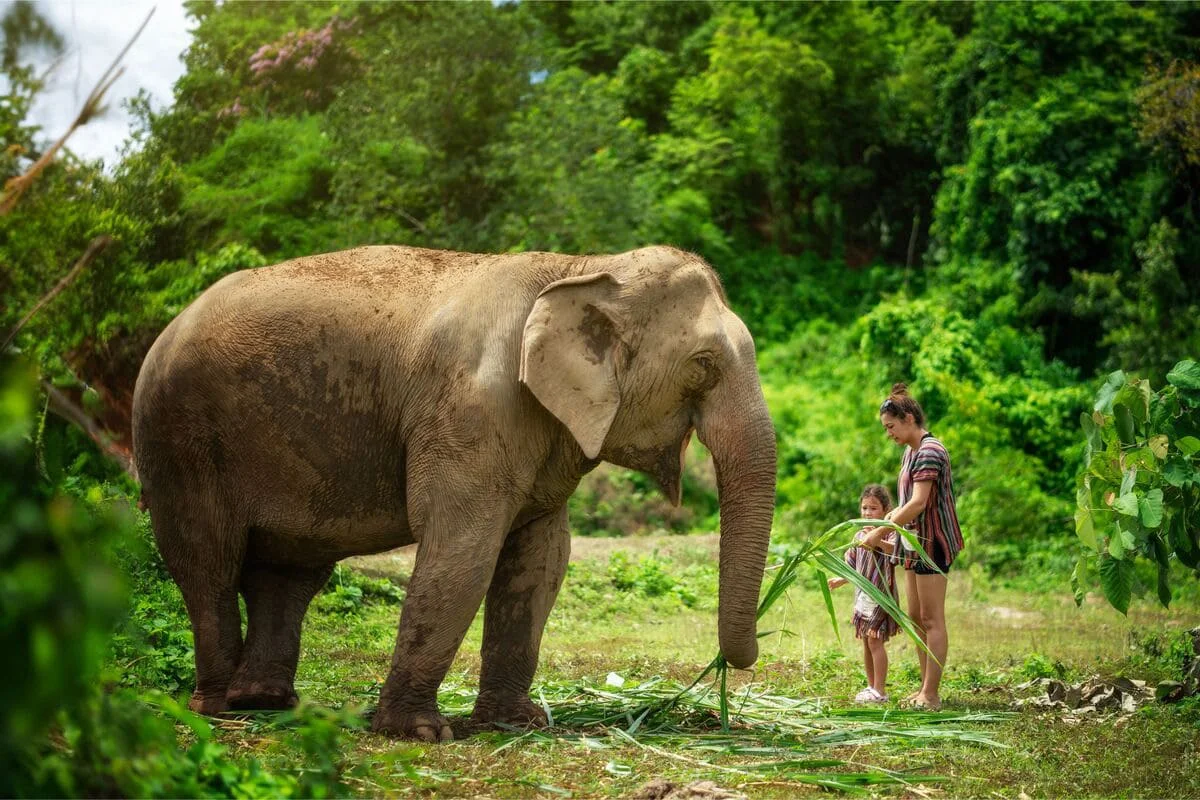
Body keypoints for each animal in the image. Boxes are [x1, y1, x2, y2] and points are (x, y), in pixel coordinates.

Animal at [131, 244, 777, 741]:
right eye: (703, 364)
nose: (736, 664)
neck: (585, 265)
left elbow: (541, 559)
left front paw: (517, 724)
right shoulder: (470, 410)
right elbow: (463, 549)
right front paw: (419, 734)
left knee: (286, 574)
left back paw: (267, 704)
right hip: (179, 437)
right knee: (207, 562)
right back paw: (218, 710)